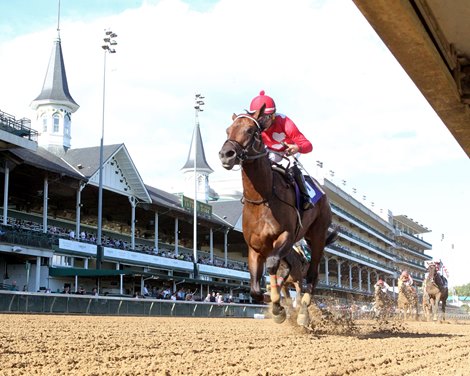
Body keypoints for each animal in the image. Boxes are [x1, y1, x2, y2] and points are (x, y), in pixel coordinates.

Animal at [218, 106, 336, 324]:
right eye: (228, 130)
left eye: (250, 130)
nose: (226, 154)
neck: (262, 198)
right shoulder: (254, 247)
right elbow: (255, 288)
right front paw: (272, 301)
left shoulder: (286, 236)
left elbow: (273, 266)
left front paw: (278, 307)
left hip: (317, 236)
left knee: (312, 276)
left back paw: (303, 314)